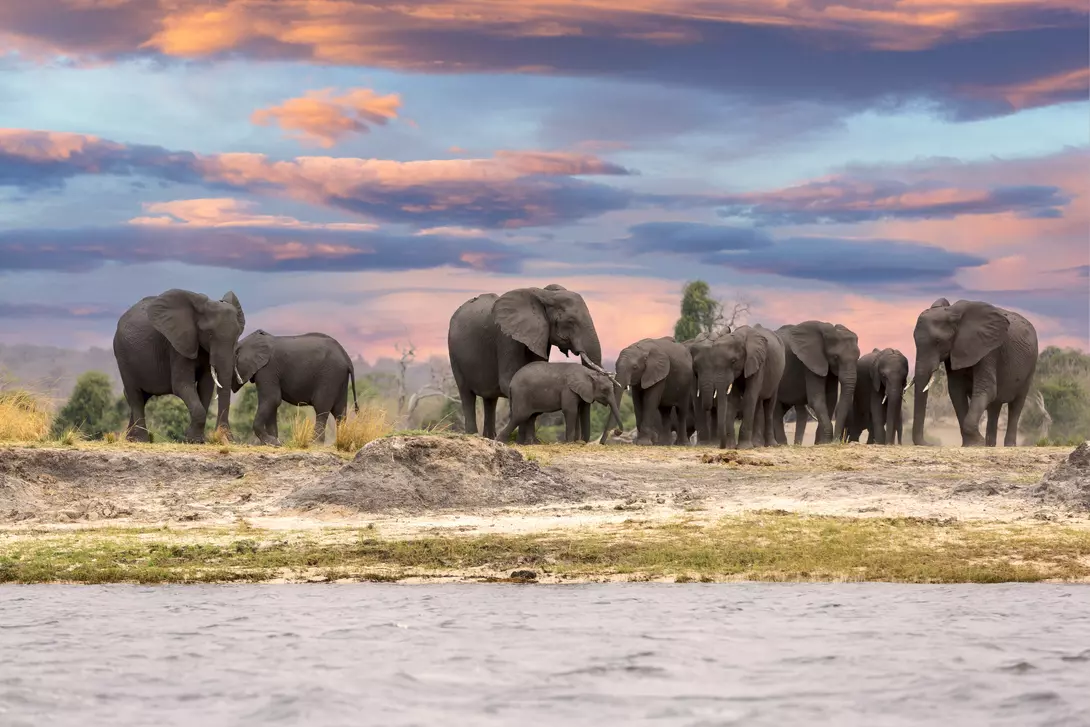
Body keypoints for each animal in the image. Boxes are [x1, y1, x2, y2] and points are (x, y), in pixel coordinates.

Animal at [113, 288, 245, 443]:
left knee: (140, 396)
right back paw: (141, 440)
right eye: (209, 334)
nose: (227, 438)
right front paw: (194, 440)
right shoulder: (177, 346)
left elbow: (206, 387)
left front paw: (196, 439)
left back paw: (130, 439)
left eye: (238, 334)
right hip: (122, 356)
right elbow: (181, 385)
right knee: (135, 395)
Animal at [448, 284, 611, 444]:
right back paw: (473, 435)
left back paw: (489, 438)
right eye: (570, 321)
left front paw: (531, 442)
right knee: (466, 394)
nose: (581, 441)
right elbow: (509, 381)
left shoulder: (541, 336)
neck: (543, 295)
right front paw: (524, 441)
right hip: (455, 355)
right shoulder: (506, 337)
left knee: (490, 400)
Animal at [911, 298, 1038, 447]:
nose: (931, 444)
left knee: (1016, 404)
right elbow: (956, 391)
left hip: (1030, 366)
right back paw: (990, 445)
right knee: (994, 407)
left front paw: (978, 442)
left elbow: (986, 389)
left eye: (938, 341)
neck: (953, 314)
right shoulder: (956, 350)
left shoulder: (988, 350)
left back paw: (1008, 445)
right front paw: (971, 444)